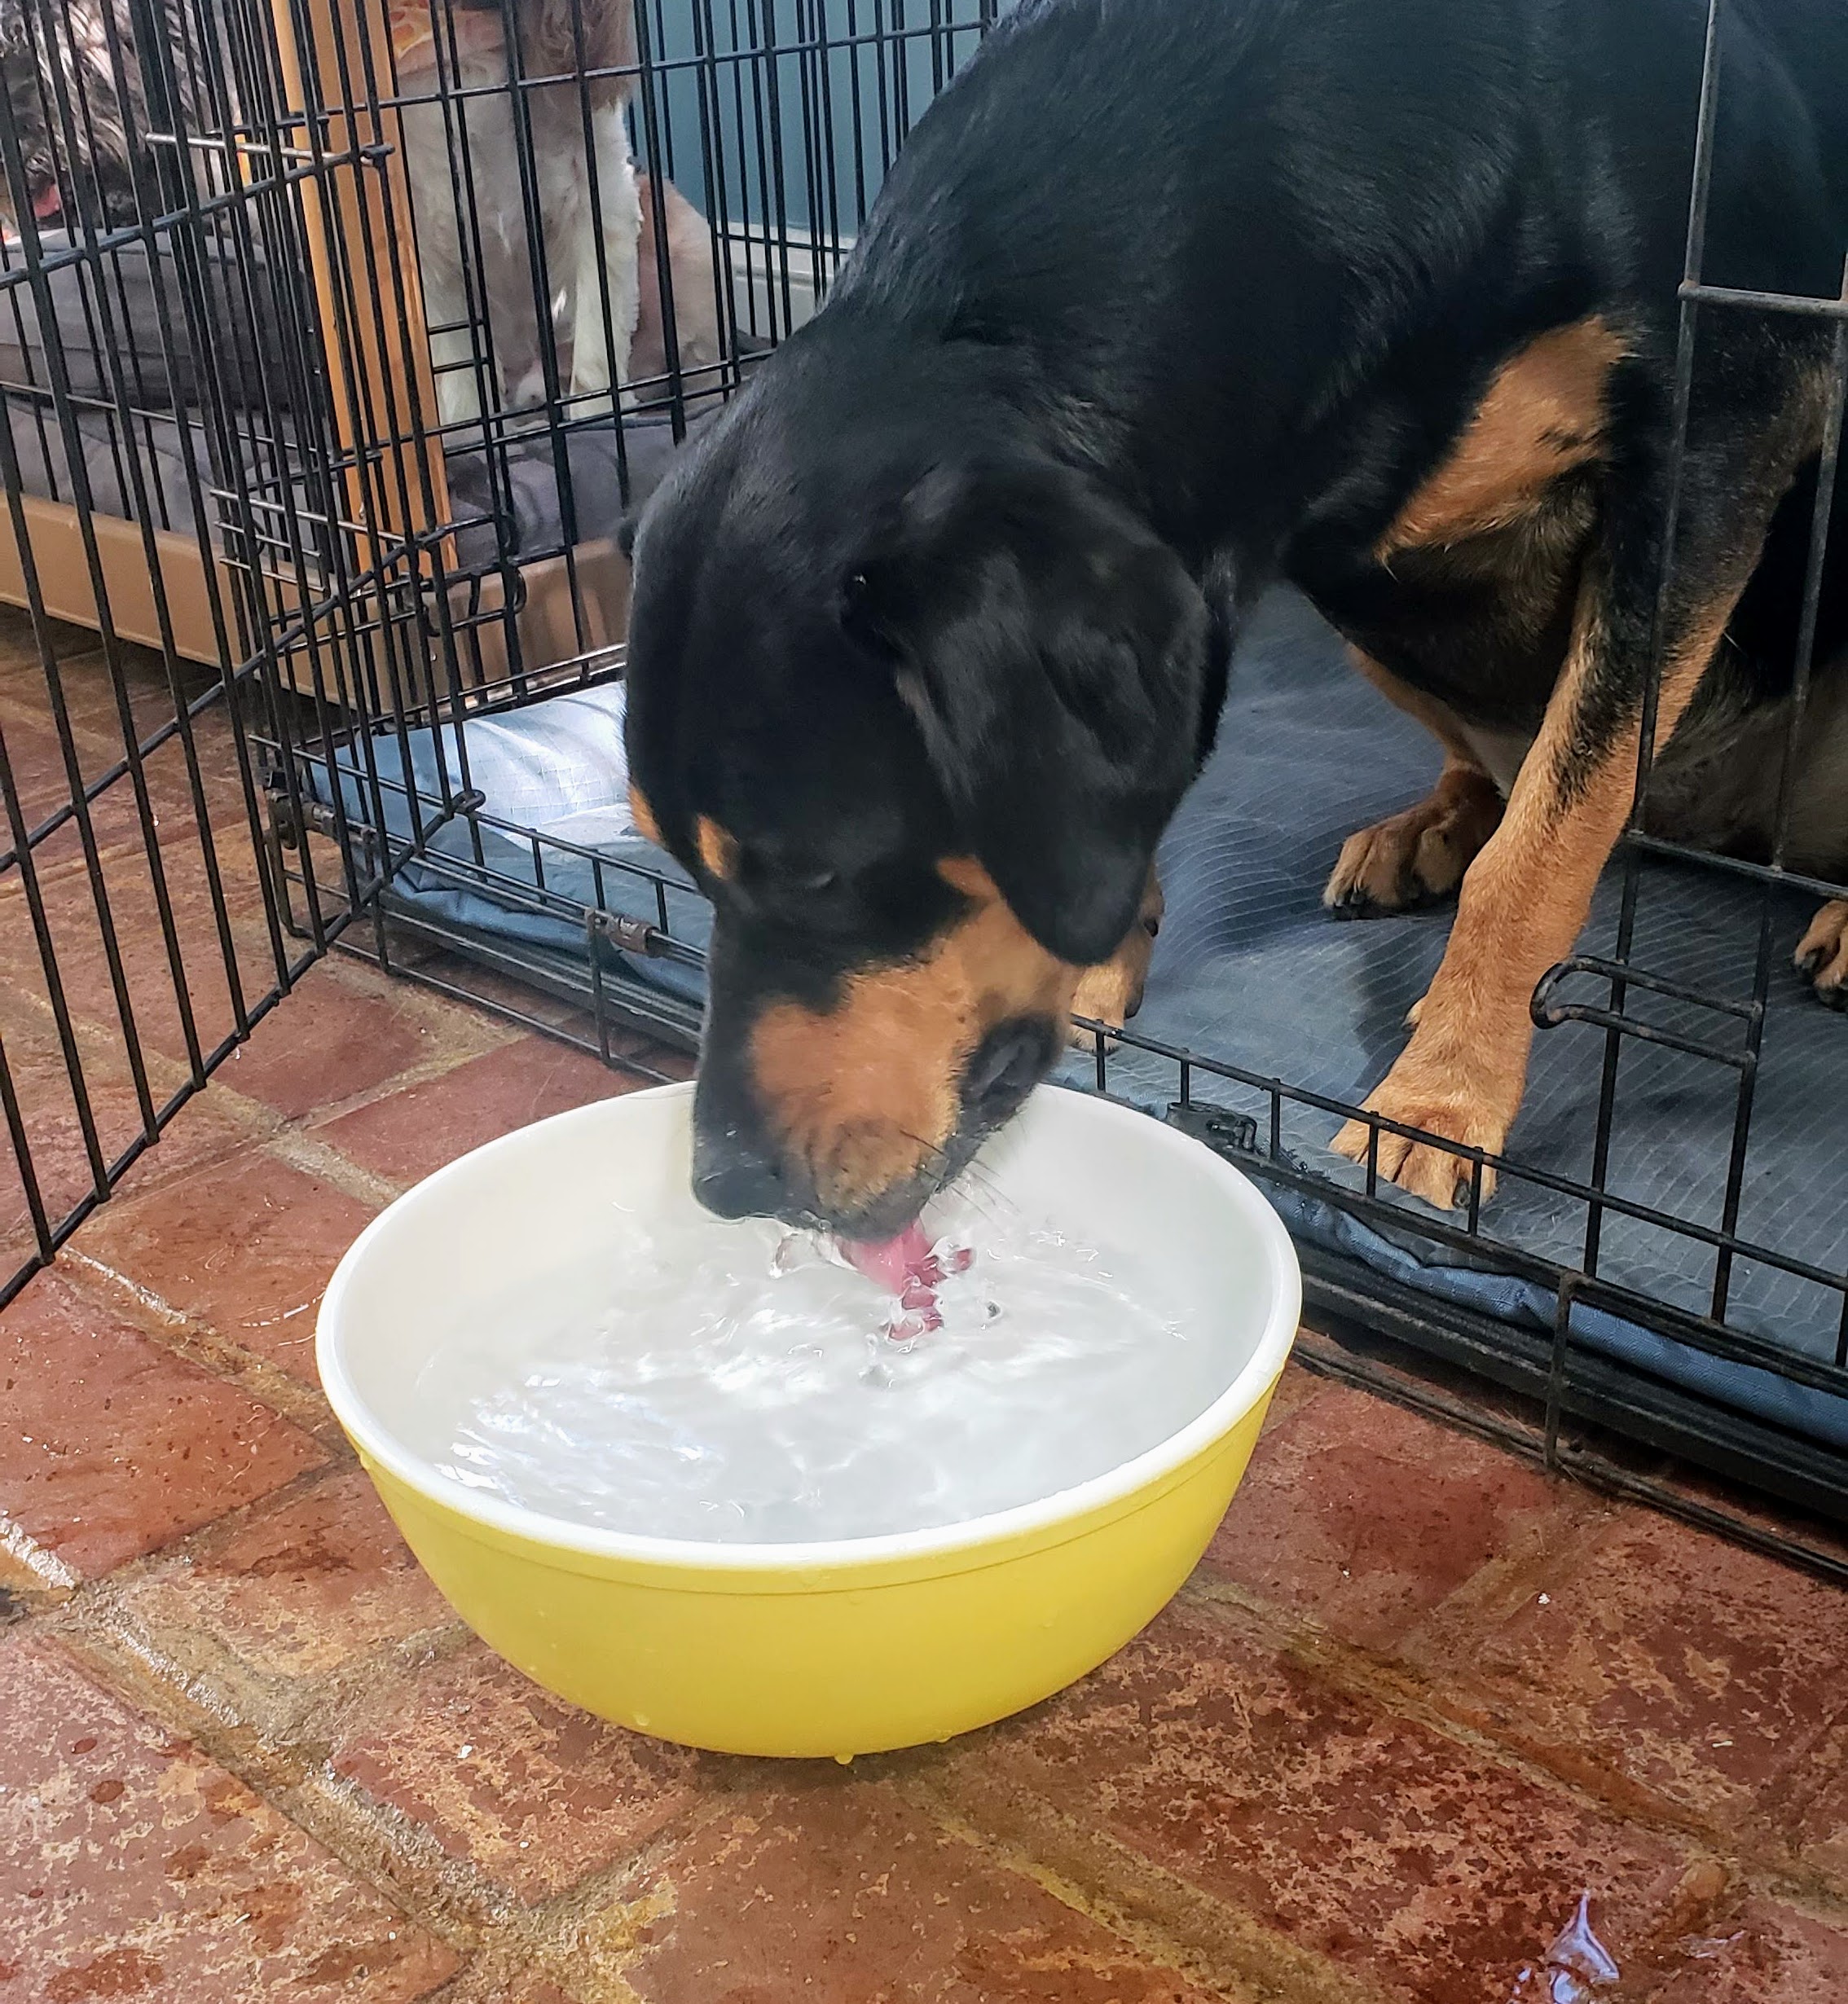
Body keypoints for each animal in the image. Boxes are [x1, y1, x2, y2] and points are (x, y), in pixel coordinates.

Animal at [621, 0, 1844, 1234]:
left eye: (817, 875)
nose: (722, 1187)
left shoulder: (1722, 436)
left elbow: (1541, 854)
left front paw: (1439, 1104)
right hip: (1373, 603)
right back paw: (1429, 829)